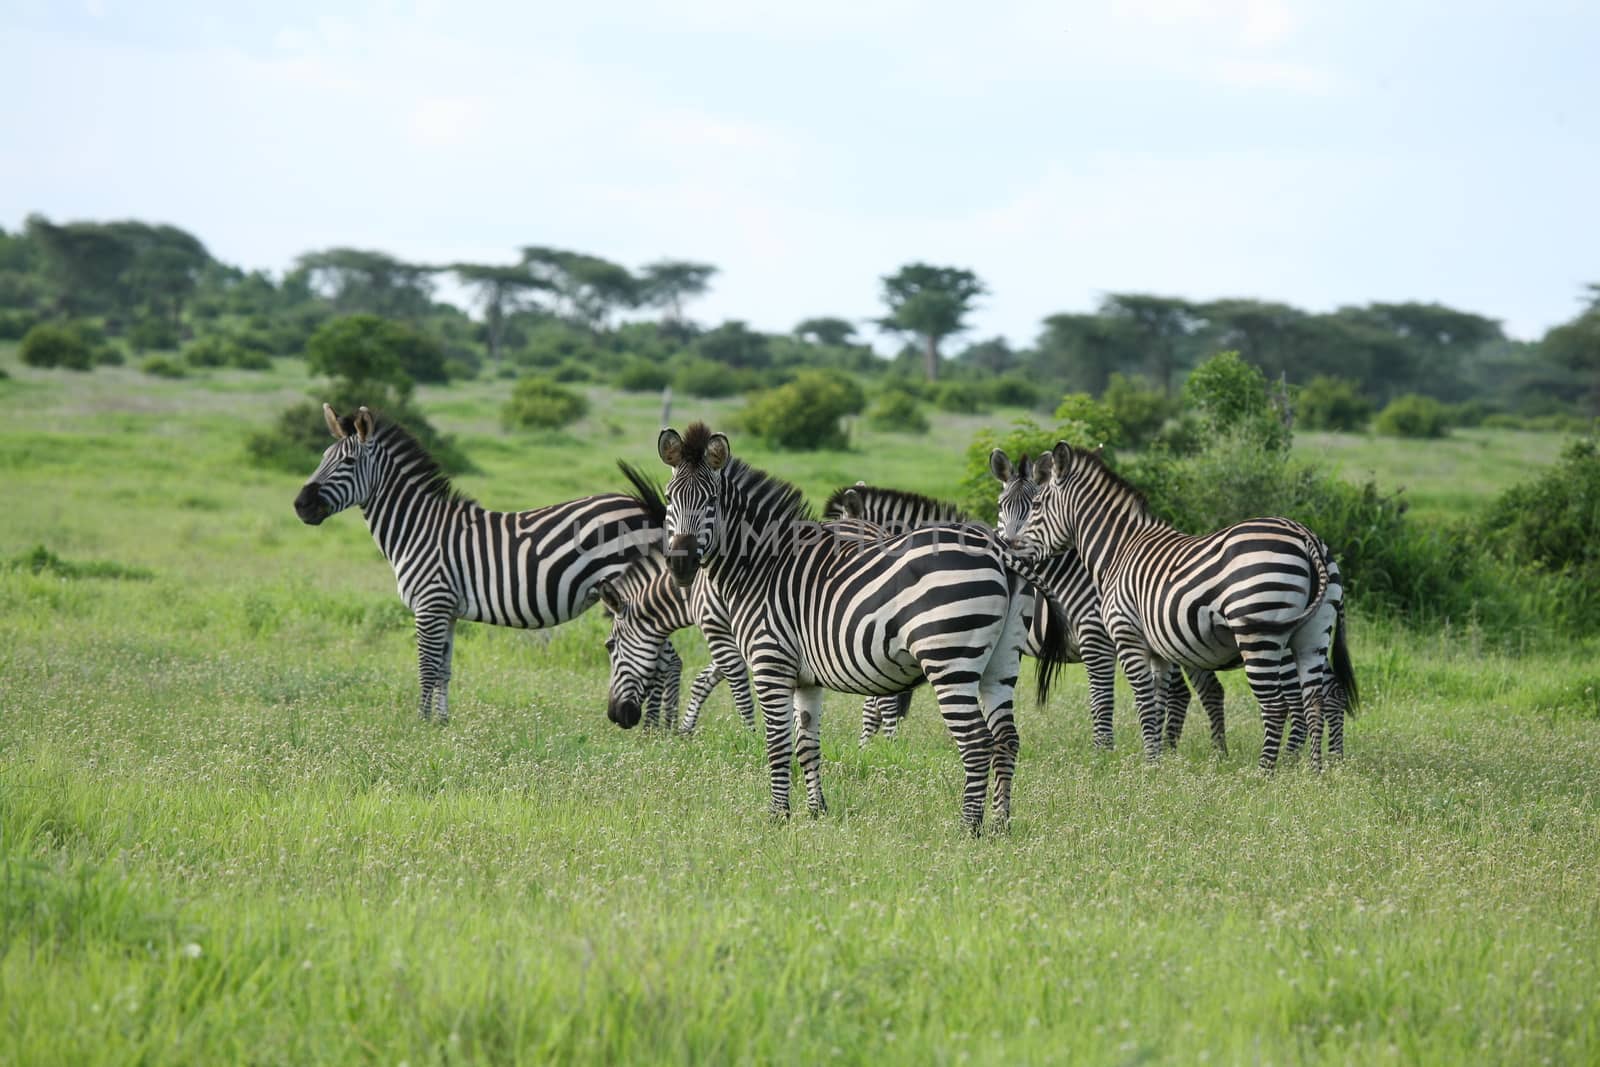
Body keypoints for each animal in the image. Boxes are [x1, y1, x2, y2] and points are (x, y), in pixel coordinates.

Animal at [294, 404, 662, 723]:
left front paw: (419, 723)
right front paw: (440, 723)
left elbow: (426, 667)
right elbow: (443, 669)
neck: (417, 527)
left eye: (348, 461)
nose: (300, 505)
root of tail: (644, 507)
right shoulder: (447, 610)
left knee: (660, 660)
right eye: (322, 458)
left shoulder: (430, 604)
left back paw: (653, 729)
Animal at [636, 422, 1062, 831]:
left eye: (710, 501)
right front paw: (816, 811)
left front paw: (777, 817)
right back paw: (1001, 825)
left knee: (976, 743)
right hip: (1000, 662)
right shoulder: (805, 679)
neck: (761, 566)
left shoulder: (770, 663)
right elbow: (807, 745)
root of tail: (998, 550)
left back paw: (968, 828)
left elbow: (777, 744)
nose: (680, 564)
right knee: (1006, 740)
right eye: (671, 499)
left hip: (949, 658)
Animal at [985, 451, 1235, 758]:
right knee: (1195, 690)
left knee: (1200, 690)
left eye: (1033, 505)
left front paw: (1102, 752)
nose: (1011, 545)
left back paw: (1210, 752)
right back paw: (1185, 750)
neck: (1072, 574)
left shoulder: (1098, 638)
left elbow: (1101, 698)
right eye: (1001, 505)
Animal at [1017, 441, 1356, 767]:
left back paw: (1266, 772)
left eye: (1036, 505)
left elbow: (1143, 701)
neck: (1119, 551)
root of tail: (1306, 536)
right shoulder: (1159, 649)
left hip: (1259, 634)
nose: (1011, 545)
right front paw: (1156, 761)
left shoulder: (1127, 637)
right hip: (1312, 635)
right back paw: (1315, 770)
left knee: (1277, 706)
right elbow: (1158, 702)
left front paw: (1147, 765)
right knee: (1316, 700)